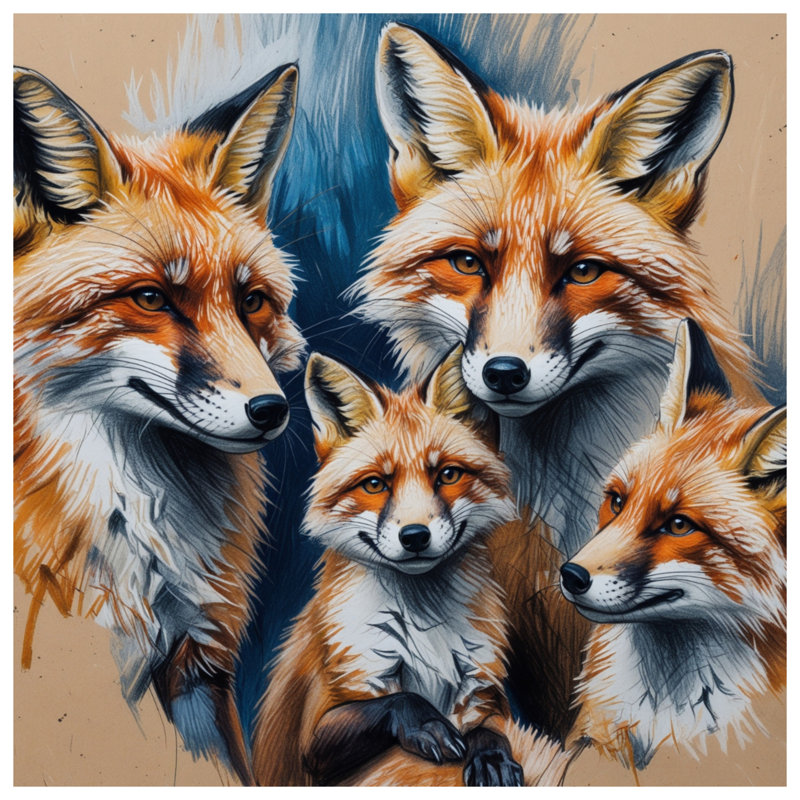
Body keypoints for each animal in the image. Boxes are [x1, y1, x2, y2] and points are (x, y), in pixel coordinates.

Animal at [251, 347, 535, 786]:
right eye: (375, 484)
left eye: (447, 474)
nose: (415, 536)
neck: (426, 629)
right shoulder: (313, 740)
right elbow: (400, 700)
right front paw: (429, 726)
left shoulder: (485, 695)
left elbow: (489, 730)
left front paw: (491, 758)